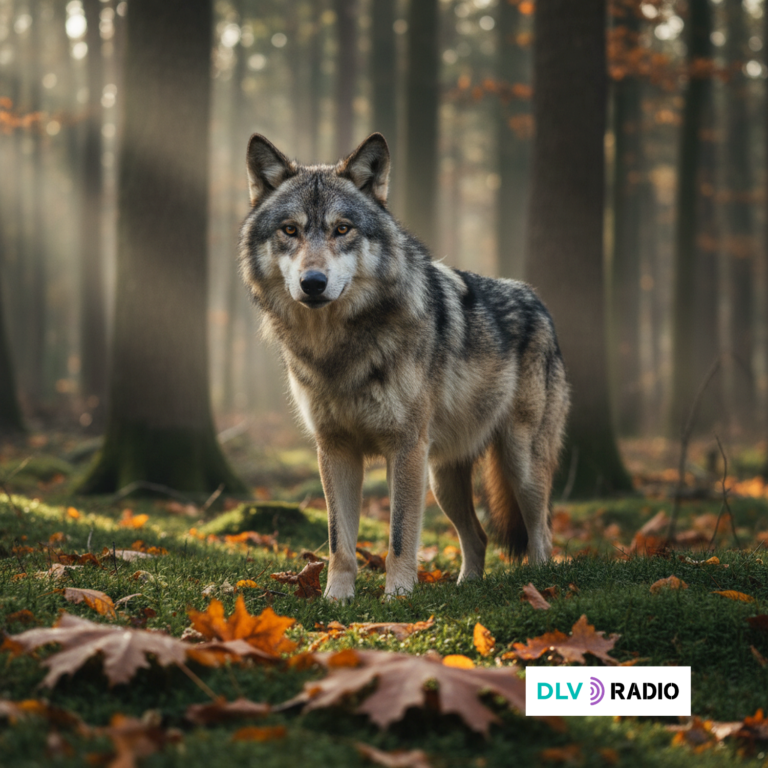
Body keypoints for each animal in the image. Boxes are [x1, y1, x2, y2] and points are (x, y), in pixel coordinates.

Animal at [239, 132, 569, 600]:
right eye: (290, 230)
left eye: (342, 229)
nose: (313, 283)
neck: (339, 349)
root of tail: (538, 301)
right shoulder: (334, 449)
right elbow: (339, 541)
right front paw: (336, 600)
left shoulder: (406, 446)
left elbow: (399, 535)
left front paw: (397, 596)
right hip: (443, 478)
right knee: (478, 536)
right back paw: (465, 588)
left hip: (517, 462)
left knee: (542, 530)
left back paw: (541, 585)